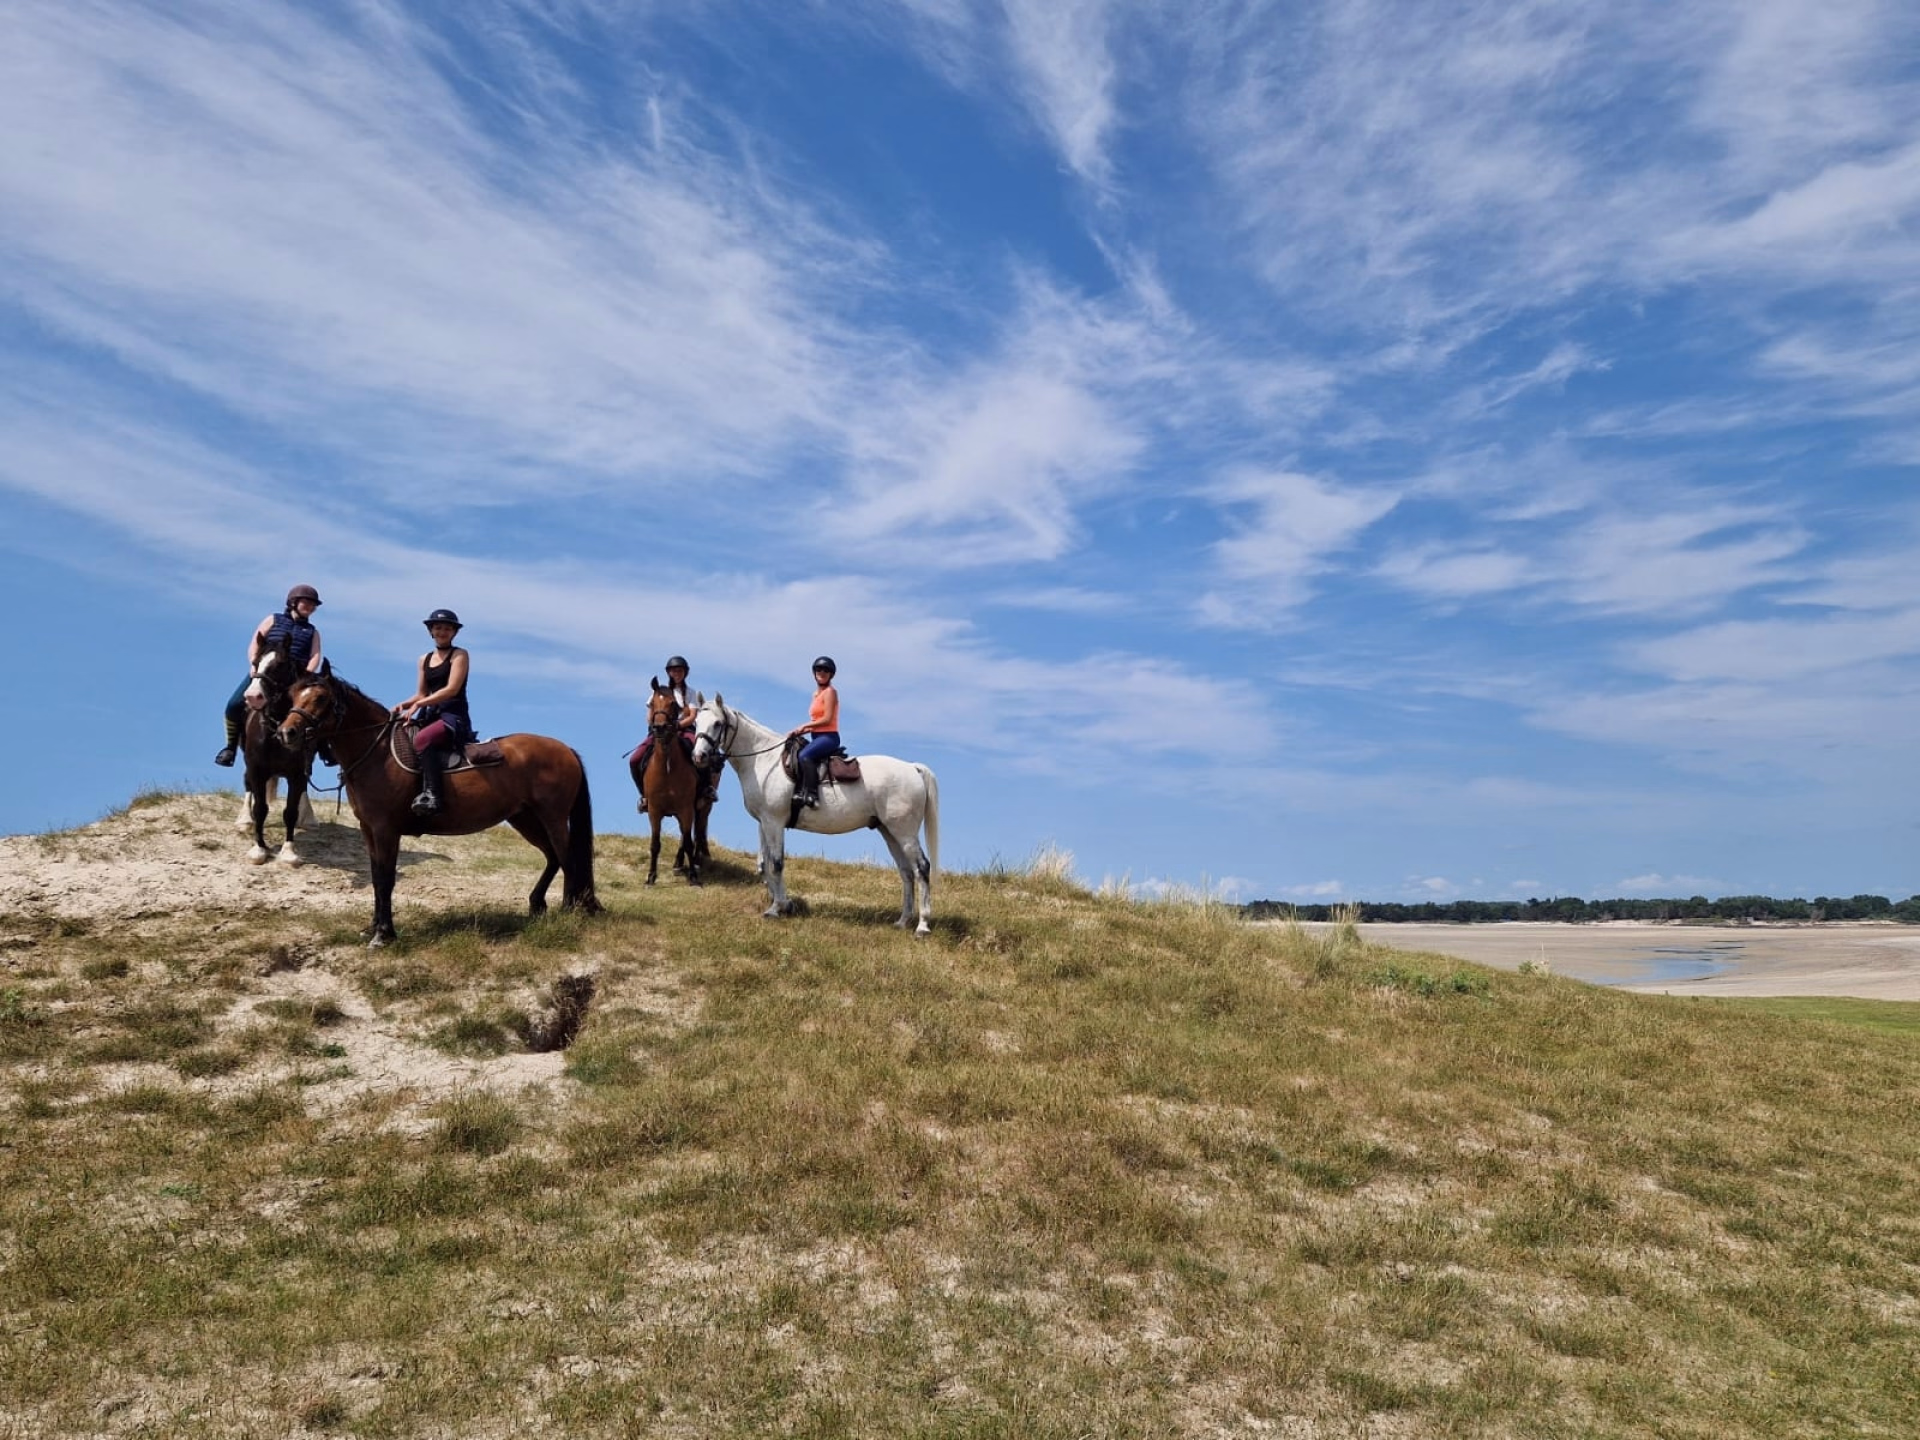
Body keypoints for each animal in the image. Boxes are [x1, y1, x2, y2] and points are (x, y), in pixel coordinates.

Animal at [237, 643, 318, 866]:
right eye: (256, 662)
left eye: (280, 665)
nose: (252, 697)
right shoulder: (256, 770)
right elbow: (261, 809)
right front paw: (259, 849)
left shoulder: (296, 774)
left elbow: (290, 812)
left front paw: (289, 852)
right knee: (247, 784)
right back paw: (244, 820)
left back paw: (308, 818)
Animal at [277, 669, 599, 946]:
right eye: (293, 695)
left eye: (320, 698)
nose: (286, 733)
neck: (378, 752)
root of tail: (565, 749)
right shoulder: (368, 829)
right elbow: (376, 877)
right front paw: (375, 927)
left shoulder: (385, 830)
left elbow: (386, 878)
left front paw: (384, 934)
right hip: (525, 818)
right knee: (553, 857)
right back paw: (539, 905)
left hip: (552, 817)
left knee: (567, 860)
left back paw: (569, 912)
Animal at [634, 679, 710, 887]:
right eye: (652, 704)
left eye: (673, 704)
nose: (659, 728)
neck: (667, 767)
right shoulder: (654, 811)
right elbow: (655, 844)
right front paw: (651, 877)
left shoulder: (686, 809)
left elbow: (688, 841)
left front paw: (693, 877)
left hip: (700, 808)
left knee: (696, 833)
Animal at [690, 696, 938, 934]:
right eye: (696, 723)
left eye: (717, 723)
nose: (699, 756)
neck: (764, 762)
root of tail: (912, 768)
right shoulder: (764, 823)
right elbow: (765, 863)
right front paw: (784, 903)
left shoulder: (774, 822)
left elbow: (776, 863)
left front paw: (776, 908)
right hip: (889, 831)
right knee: (907, 872)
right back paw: (903, 921)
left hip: (904, 833)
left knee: (922, 868)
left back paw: (923, 925)